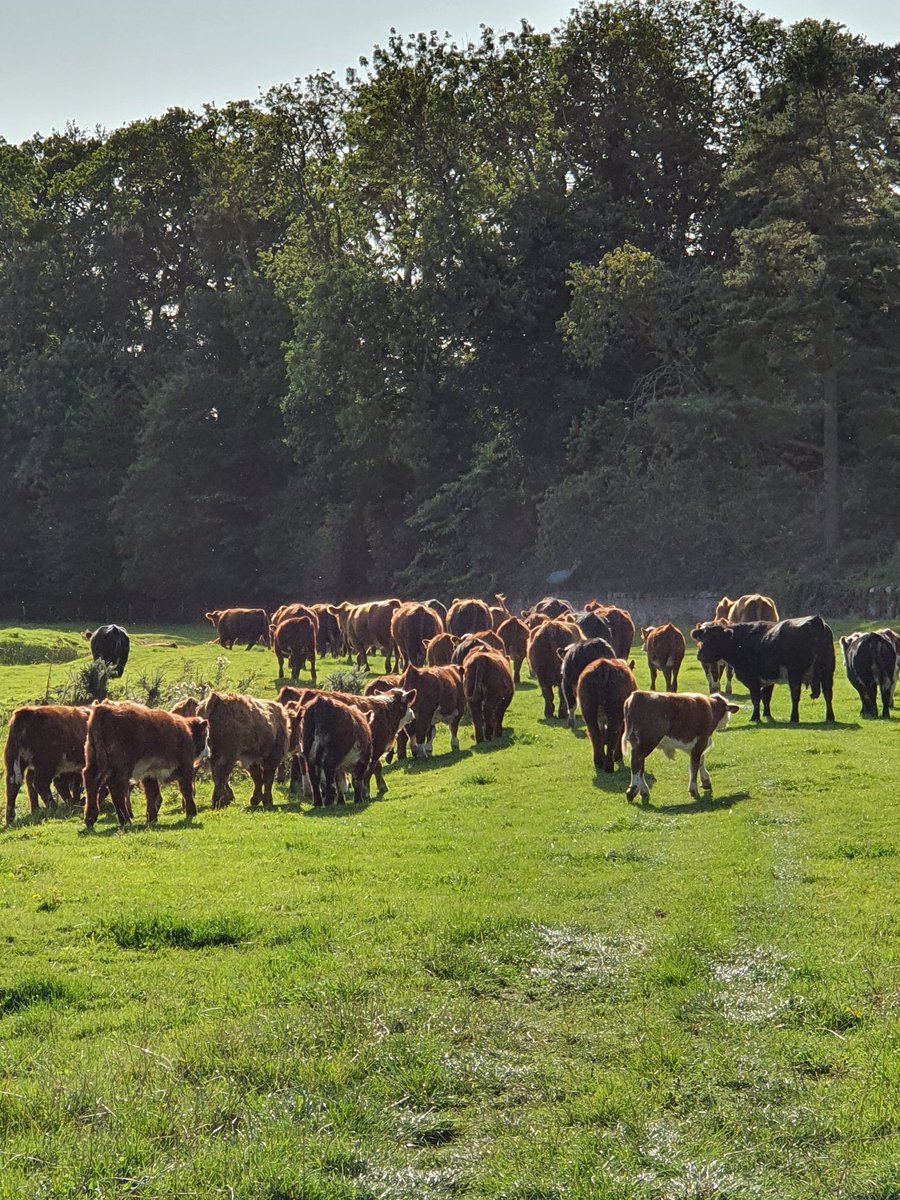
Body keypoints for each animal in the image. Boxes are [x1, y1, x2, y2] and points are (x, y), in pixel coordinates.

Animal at [690, 616, 835, 724]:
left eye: (715, 638)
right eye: (702, 639)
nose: (700, 655)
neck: (740, 641)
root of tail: (815, 620)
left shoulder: (752, 678)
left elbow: (756, 698)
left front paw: (755, 718)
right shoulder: (768, 677)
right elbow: (766, 697)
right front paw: (767, 715)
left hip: (795, 674)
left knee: (795, 695)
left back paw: (794, 718)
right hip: (828, 671)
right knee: (828, 694)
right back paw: (830, 717)